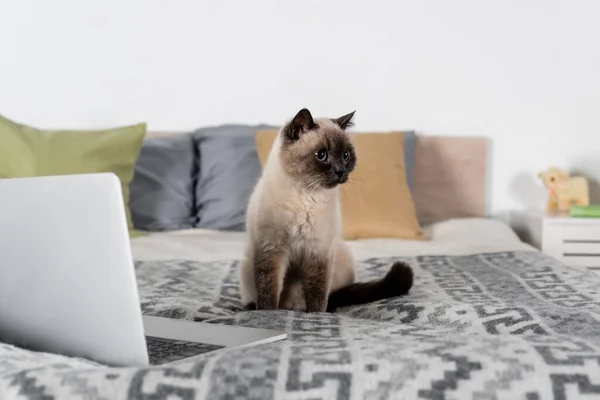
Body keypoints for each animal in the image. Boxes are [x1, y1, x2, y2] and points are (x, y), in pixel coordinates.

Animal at [239, 107, 412, 312]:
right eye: (321, 155)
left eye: (345, 156)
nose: (340, 172)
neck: (306, 196)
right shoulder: (271, 249)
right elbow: (268, 291)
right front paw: (268, 313)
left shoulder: (318, 251)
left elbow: (317, 294)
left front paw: (315, 315)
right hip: (246, 265)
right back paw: (254, 307)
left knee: (330, 297)